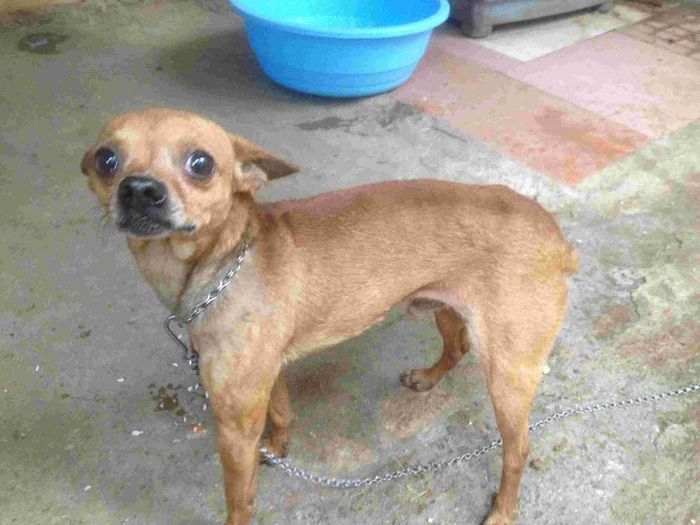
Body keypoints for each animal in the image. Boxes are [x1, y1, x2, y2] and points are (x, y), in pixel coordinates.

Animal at [81, 108, 577, 525]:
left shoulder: (235, 421)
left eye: (200, 163)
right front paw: (277, 449)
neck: (228, 257)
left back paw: (502, 511)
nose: (139, 189)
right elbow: (282, 414)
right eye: (107, 159)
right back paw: (427, 378)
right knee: (456, 347)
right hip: (447, 310)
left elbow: (238, 500)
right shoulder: (265, 376)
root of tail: (555, 235)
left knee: (517, 450)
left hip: (508, 375)